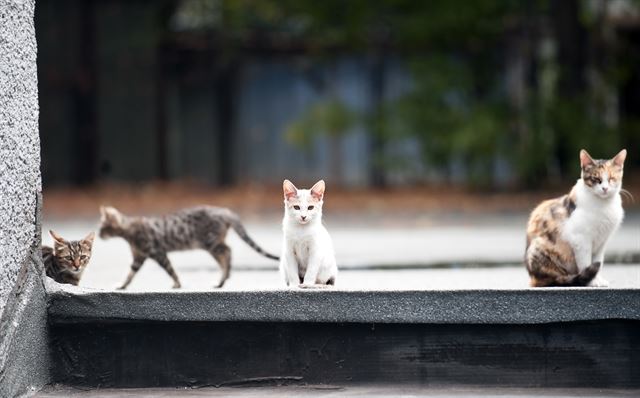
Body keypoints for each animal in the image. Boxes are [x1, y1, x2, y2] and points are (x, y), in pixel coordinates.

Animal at [99, 205, 278, 290]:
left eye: (102, 228)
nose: (99, 235)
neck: (129, 230)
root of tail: (225, 211)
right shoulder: (139, 257)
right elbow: (130, 274)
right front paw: (122, 286)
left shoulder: (157, 253)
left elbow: (170, 270)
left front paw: (177, 284)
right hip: (213, 243)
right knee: (226, 254)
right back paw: (224, 278)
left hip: (210, 243)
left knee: (228, 252)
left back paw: (223, 278)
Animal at [524, 148, 624, 286]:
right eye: (596, 178)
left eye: (611, 179)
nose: (604, 188)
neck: (604, 205)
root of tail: (533, 277)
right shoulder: (580, 239)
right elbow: (586, 263)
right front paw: (592, 281)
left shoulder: (601, 242)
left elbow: (597, 261)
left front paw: (598, 279)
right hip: (540, 247)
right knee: (553, 279)